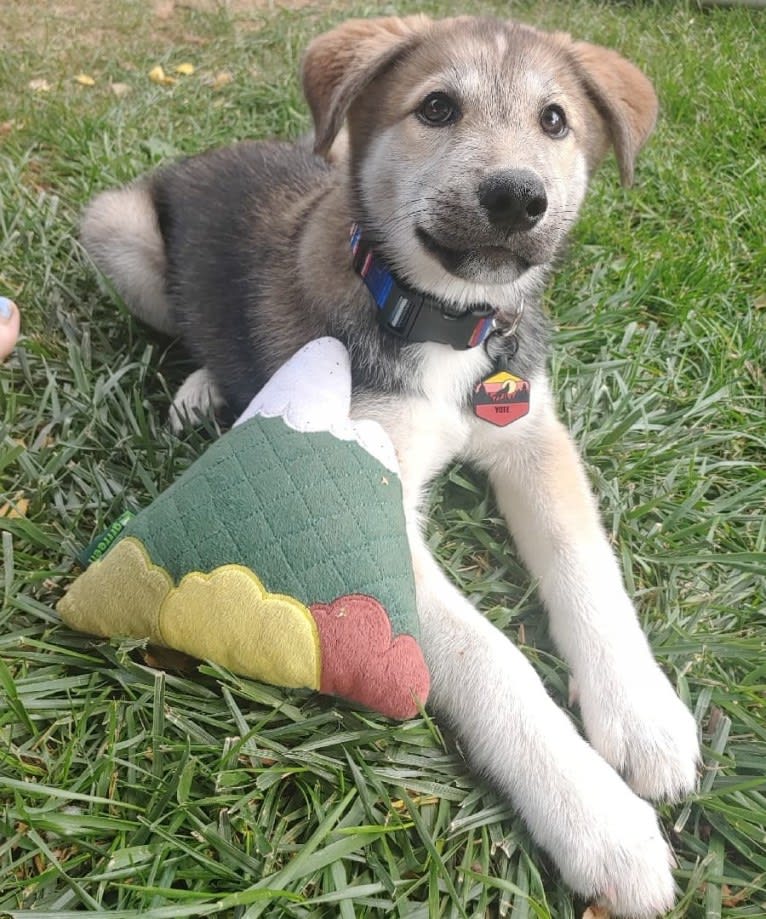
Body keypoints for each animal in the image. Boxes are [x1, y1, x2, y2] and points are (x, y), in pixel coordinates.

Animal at [79, 16, 704, 919]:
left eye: (555, 121)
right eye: (436, 107)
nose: (517, 197)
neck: (443, 320)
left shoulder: (532, 434)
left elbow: (589, 568)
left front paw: (644, 715)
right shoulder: (370, 499)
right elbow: (494, 659)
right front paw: (599, 819)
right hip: (119, 231)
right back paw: (204, 386)